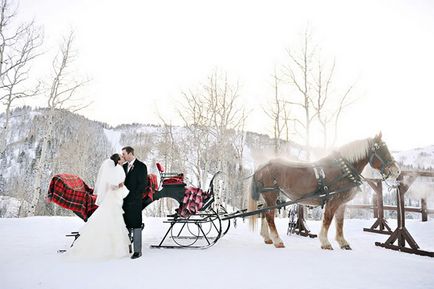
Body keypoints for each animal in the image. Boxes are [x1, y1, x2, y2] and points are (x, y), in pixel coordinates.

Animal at [248, 133, 400, 248]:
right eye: (381, 150)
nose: (396, 171)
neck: (343, 170)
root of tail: (262, 166)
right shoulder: (333, 200)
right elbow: (328, 219)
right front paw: (325, 242)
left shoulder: (342, 203)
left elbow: (340, 222)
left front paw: (342, 242)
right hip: (271, 195)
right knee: (269, 216)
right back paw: (277, 241)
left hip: (269, 197)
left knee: (264, 213)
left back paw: (267, 238)